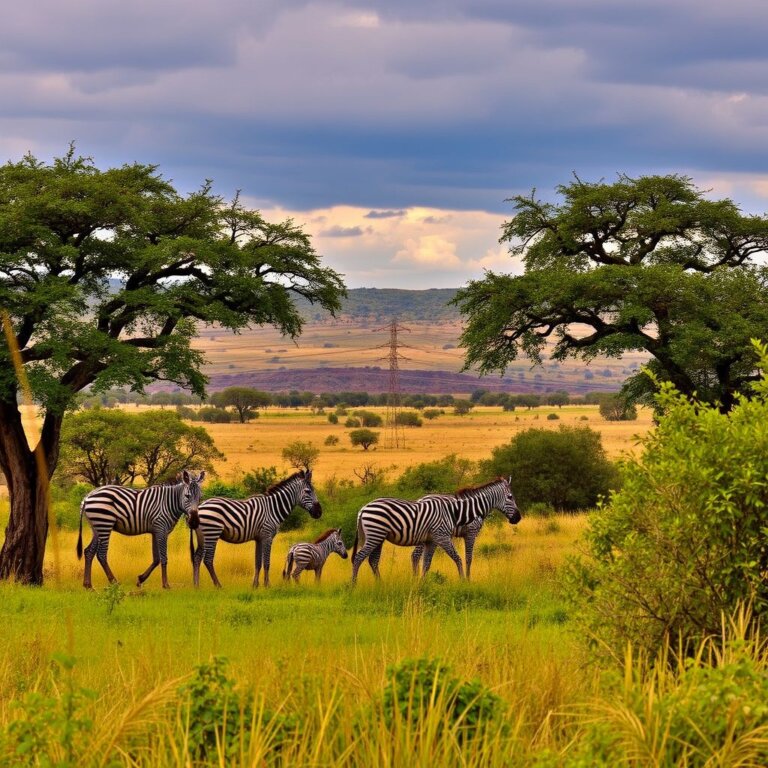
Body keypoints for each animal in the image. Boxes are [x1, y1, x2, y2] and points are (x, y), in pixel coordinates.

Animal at [76, 468, 206, 588]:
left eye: (200, 497)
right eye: (187, 496)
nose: (194, 522)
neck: (170, 504)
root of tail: (88, 496)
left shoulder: (155, 531)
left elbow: (156, 558)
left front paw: (141, 579)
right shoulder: (161, 529)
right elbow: (163, 557)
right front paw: (165, 584)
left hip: (97, 527)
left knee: (88, 551)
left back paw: (88, 585)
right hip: (104, 523)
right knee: (101, 554)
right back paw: (114, 582)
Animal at [195, 468, 324, 588]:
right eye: (308, 491)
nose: (319, 513)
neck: (273, 508)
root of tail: (200, 506)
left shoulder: (259, 538)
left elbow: (258, 562)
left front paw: (255, 585)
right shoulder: (267, 536)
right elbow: (267, 562)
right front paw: (267, 585)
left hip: (203, 535)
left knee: (197, 557)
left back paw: (197, 585)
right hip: (212, 532)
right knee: (207, 559)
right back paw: (218, 585)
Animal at [352, 474, 520, 584]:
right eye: (510, 497)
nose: (518, 518)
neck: (458, 512)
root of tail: (363, 509)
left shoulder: (433, 539)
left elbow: (428, 563)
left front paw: (423, 584)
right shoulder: (461, 534)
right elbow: (464, 558)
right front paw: (465, 580)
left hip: (379, 537)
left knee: (373, 560)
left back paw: (381, 585)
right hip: (376, 534)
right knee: (360, 557)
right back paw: (353, 585)